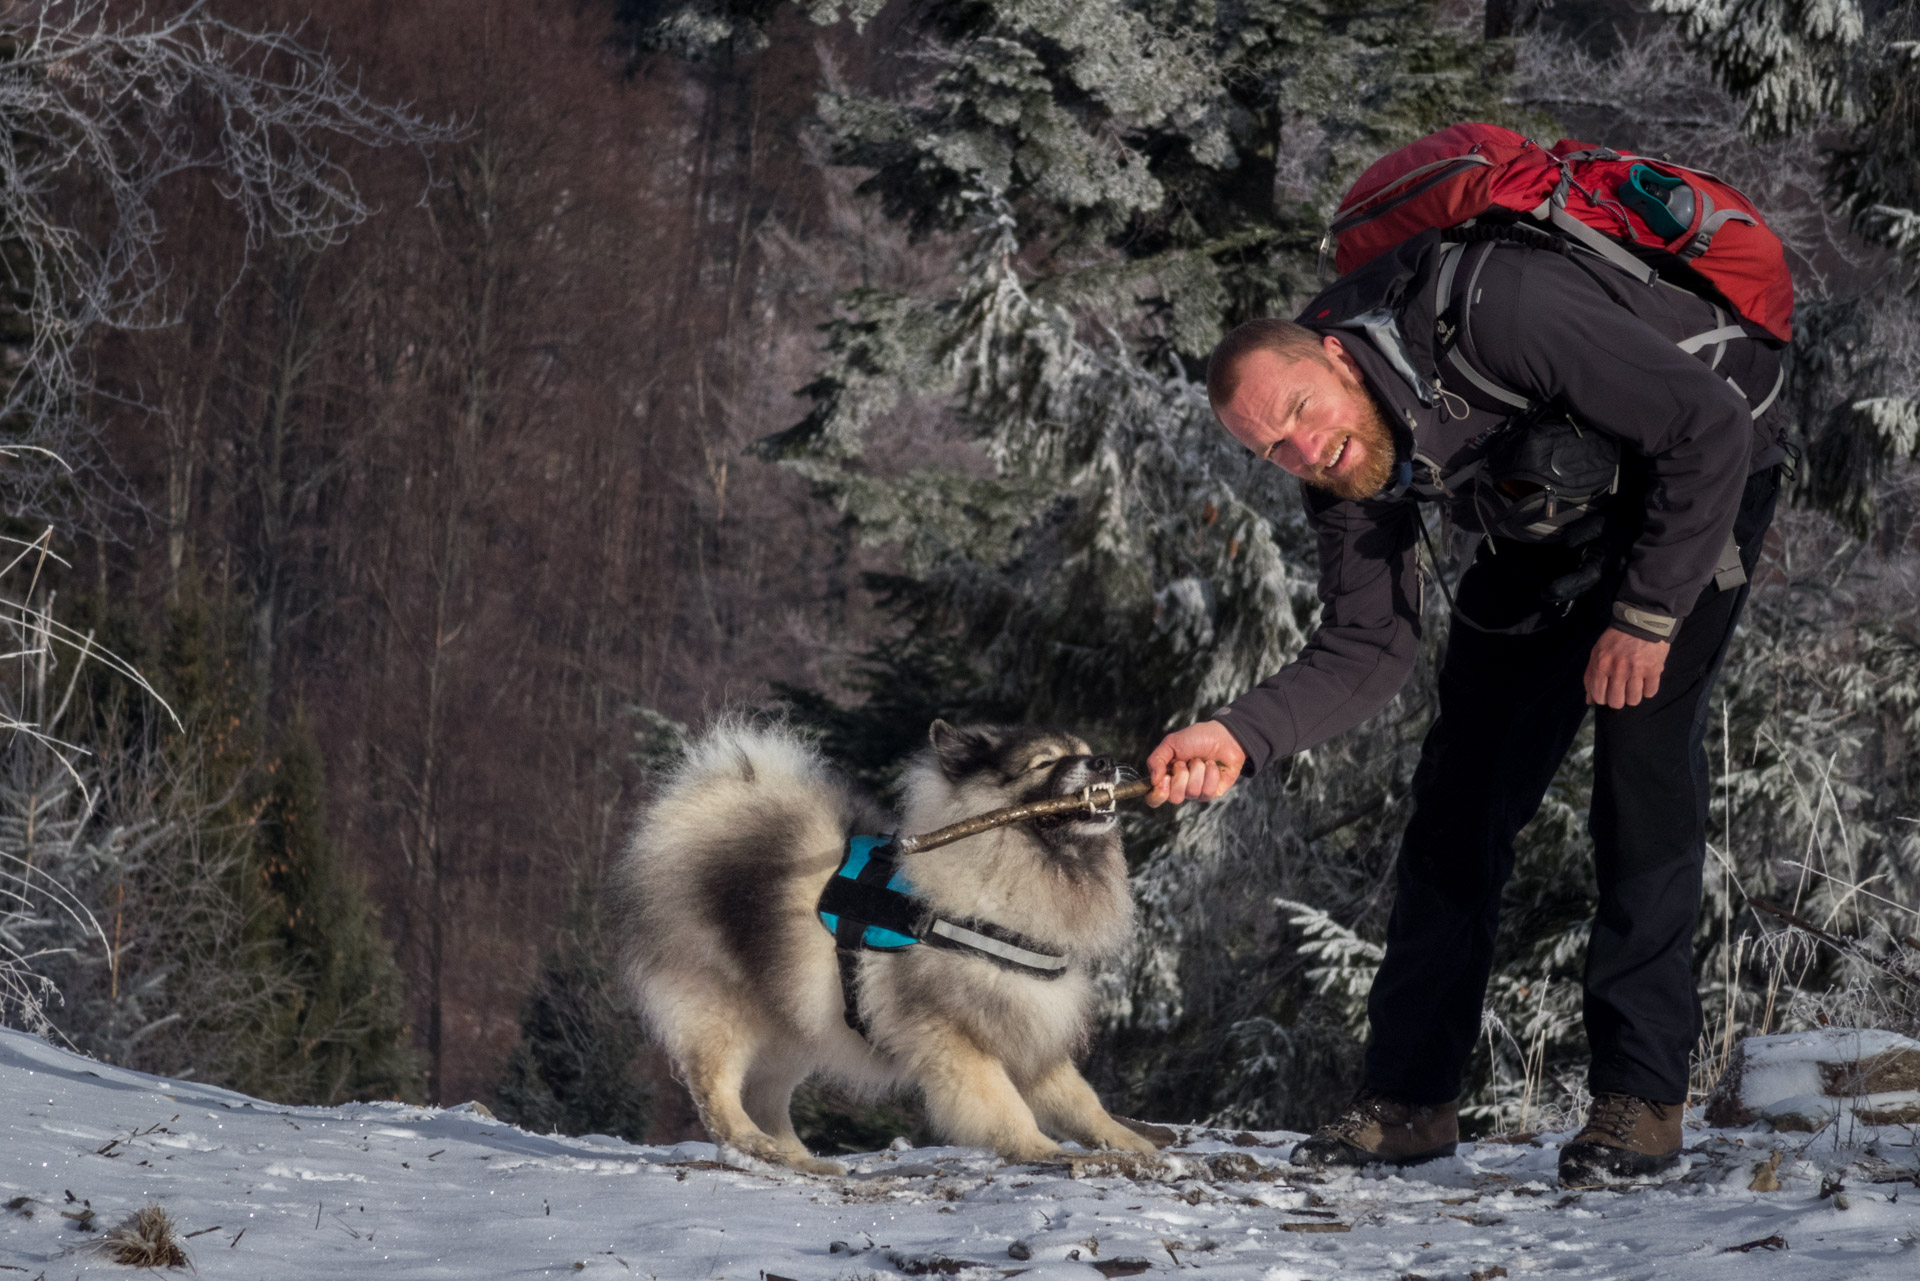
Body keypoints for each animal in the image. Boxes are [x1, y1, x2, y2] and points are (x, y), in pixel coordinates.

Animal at [614, 718, 1152, 1175]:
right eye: (1044, 763)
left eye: (1082, 750)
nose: (1104, 762)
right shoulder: (953, 1034)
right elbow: (1002, 1103)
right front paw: (1039, 1149)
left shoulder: (1028, 1023)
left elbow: (1082, 1102)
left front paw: (1132, 1144)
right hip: (727, 1008)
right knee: (717, 1088)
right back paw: (753, 1144)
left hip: (794, 1022)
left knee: (766, 1097)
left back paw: (799, 1159)